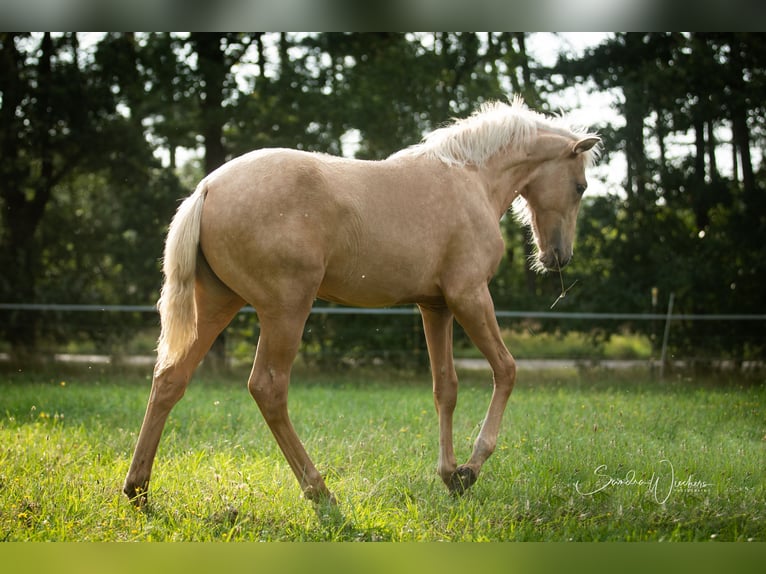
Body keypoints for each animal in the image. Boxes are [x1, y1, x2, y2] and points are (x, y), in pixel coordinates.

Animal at [124, 99, 600, 508]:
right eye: (580, 186)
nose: (558, 256)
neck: (470, 177)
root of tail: (207, 187)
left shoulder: (436, 307)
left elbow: (445, 388)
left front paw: (449, 475)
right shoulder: (470, 296)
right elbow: (506, 369)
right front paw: (471, 469)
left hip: (217, 306)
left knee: (170, 379)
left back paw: (138, 490)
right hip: (286, 311)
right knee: (268, 388)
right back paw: (319, 492)